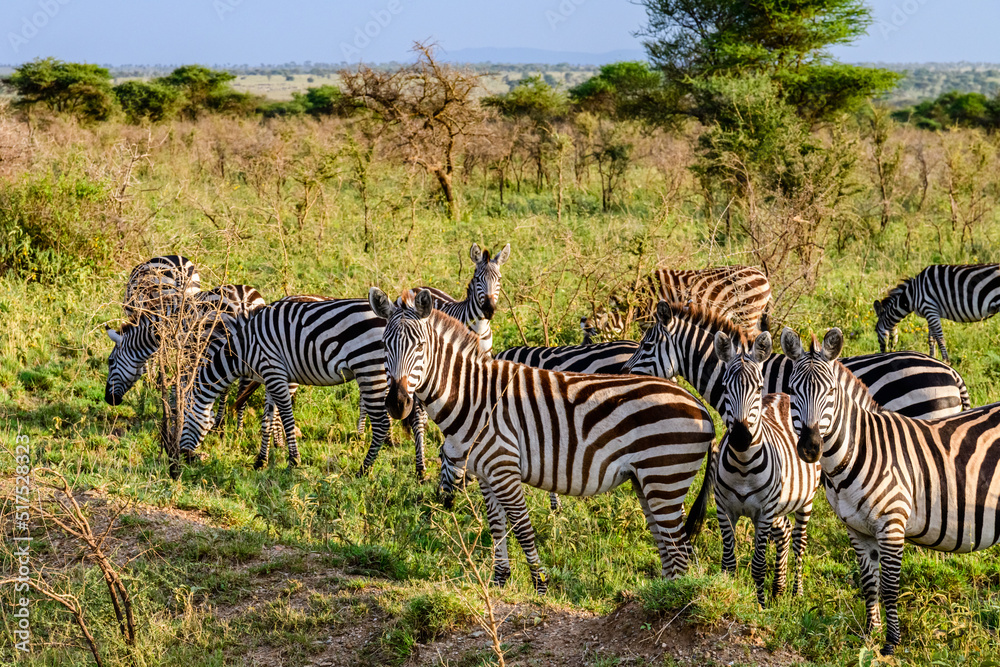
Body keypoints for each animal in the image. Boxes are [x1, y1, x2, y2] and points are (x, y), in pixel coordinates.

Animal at [369, 287, 716, 592]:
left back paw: (672, 602)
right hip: (648, 482)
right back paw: (661, 595)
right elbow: (496, 526)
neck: (473, 396)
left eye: (420, 347)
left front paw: (540, 584)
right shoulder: (485, 473)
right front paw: (499, 581)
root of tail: (701, 407)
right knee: (669, 546)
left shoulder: (504, 468)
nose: (397, 403)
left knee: (679, 549)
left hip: (665, 478)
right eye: (384, 345)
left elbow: (522, 527)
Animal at [713, 330, 820, 608]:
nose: (741, 438)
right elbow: (728, 563)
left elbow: (758, 565)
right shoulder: (724, 510)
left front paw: (760, 606)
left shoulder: (763, 513)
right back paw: (778, 588)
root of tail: (783, 395)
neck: (742, 466)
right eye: (724, 388)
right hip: (779, 505)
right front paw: (728, 596)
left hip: (805, 501)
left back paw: (796, 592)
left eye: (759, 388)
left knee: (799, 541)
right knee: (785, 531)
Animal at [780, 326, 1000, 656]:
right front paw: (870, 634)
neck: (859, 450)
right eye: (793, 391)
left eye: (830, 392)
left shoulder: (892, 525)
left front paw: (891, 644)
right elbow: (869, 582)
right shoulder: (857, 530)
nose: (809, 447)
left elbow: (890, 586)